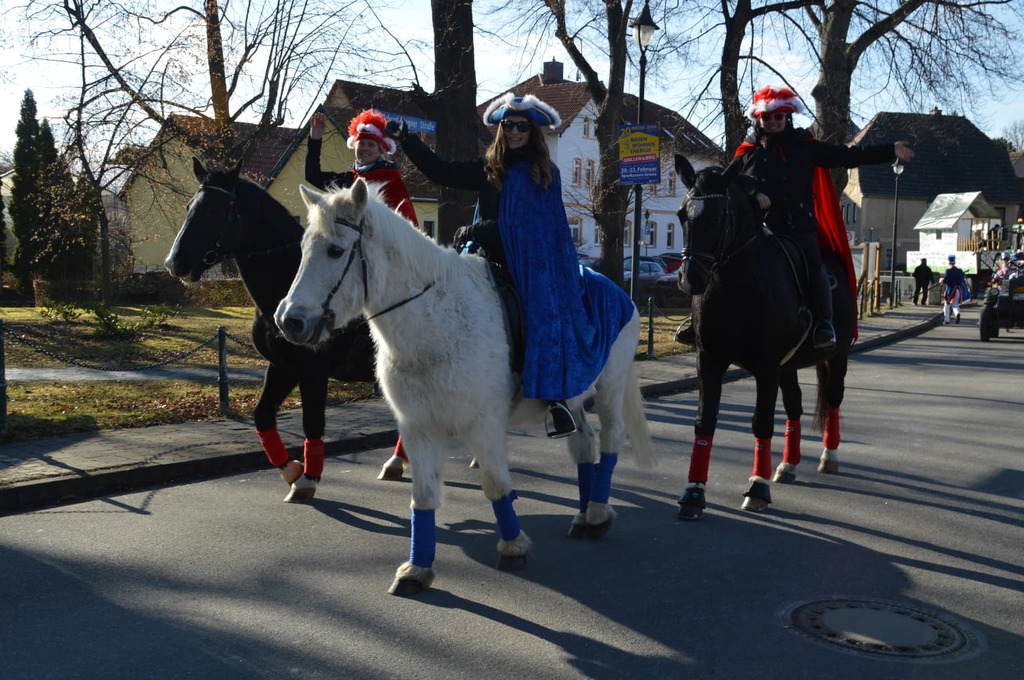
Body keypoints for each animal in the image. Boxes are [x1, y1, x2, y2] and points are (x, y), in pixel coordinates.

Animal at [164, 157, 408, 503]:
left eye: (213, 210)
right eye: (189, 207)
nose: (175, 263)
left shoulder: (313, 372)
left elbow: (312, 422)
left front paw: (308, 478)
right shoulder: (283, 367)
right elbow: (262, 416)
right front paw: (291, 469)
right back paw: (398, 462)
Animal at [274, 179, 655, 596]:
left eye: (336, 250)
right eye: (304, 248)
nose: (289, 321)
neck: (434, 322)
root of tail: (620, 292)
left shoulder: (482, 424)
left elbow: (496, 484)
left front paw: (513, 547)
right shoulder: (418, 427)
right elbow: (423, 496)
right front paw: (416, 570)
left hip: (610, 390)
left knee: (610, 444)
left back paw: (598, 514)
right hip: (571, 400)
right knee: (584, 445)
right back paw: (584, 516)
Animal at [672, 155, 855, 519]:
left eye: (719, 215)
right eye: (682, 214)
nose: (691, 279)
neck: (736, 284)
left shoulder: (766, 365)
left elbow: (762, 422)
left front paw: (757, 487)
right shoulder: (710, 359)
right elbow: (704, 422)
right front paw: (694, 492)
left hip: (836, 355)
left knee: (833, 398)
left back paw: (829, 457)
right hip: (789, 365)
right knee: (795, 405)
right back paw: (788, 464)